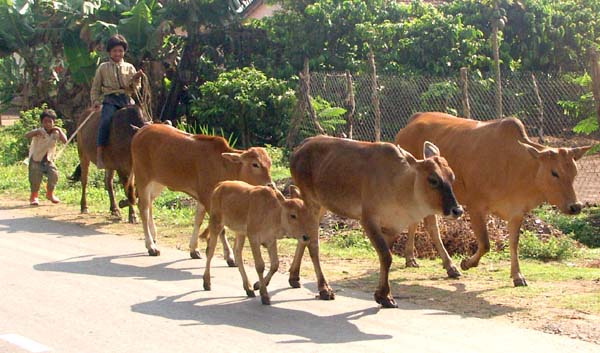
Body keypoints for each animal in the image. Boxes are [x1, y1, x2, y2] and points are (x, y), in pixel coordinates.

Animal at [130, 122, 276, 260]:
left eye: (269, 164)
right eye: (255, 164)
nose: (270, 185)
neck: (223, 165)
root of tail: (141, 131)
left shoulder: (203, 198)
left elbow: (198, 220)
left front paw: (194, 249)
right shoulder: (207, 197)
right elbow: (220, 228)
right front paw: (229, 256)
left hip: (158, 183)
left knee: (149, 205)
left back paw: (153, 237)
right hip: (143, 179)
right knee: (143, 208)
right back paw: (151, 246)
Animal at [288, 136, 462, 306]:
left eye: (452, 177)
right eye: (433, 179)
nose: (457, 210)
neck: (400, 185)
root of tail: (300, 148)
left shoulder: (392, 227)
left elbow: (385, 258)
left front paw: (381, 294)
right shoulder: (368, 220)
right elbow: (386, 257)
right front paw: (386, 296)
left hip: (323, 205)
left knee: (304, 238)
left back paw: (294, 277)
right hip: (311, 202)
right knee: (313, 244)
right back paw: (324, 289)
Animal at [394, 113, 592, 286]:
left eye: (574, 172)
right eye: (554, 172)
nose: (575, 206)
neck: (515, 165)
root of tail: (408, 125)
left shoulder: (517, 211)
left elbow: (513, 243)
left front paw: (517, 276)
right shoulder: (475, 207)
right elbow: (485, 244)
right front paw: (466, 263)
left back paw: (410, 258)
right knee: (431, 227)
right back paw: (450, 266)